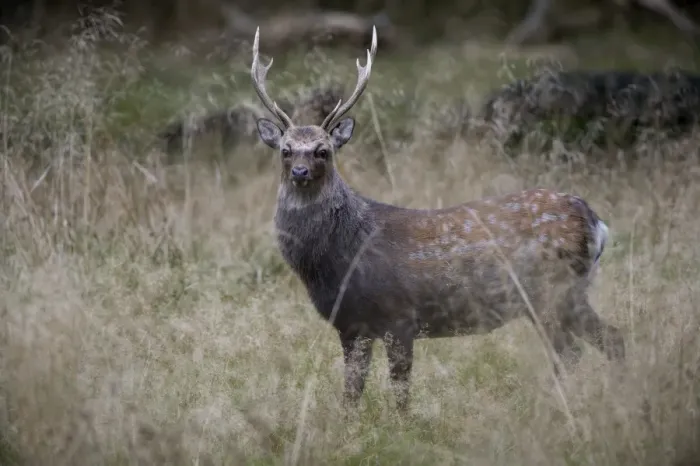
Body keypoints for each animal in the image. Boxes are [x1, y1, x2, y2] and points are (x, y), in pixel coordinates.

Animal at [250, 26, 626, 412]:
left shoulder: (400, 316)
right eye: (286, 150)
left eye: (323, 151)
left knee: (594, 344)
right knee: (591, 346)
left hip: (556, 291)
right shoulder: (351, 325)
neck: (340, 258)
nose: (300, 171)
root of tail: (595, 222)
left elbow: (401, 391)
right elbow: (351, 393)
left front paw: (401, 426)